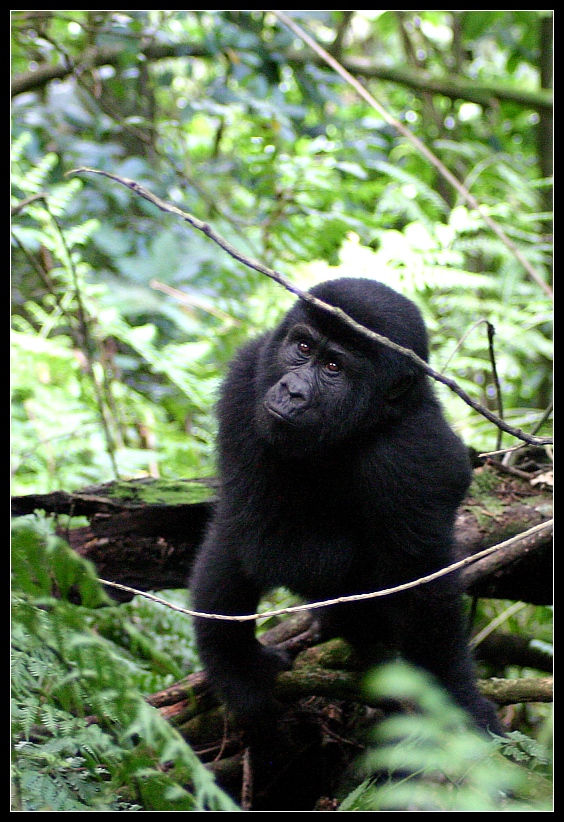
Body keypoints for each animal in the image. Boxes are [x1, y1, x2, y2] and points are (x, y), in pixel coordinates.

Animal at [189, 276, 502, 740]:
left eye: (334, 368)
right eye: (303, 347)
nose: (292, 390)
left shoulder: (415, 452)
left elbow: (422, 587)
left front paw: (457, 703)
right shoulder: (246, 379)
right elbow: (262, 537)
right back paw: (236, 662)